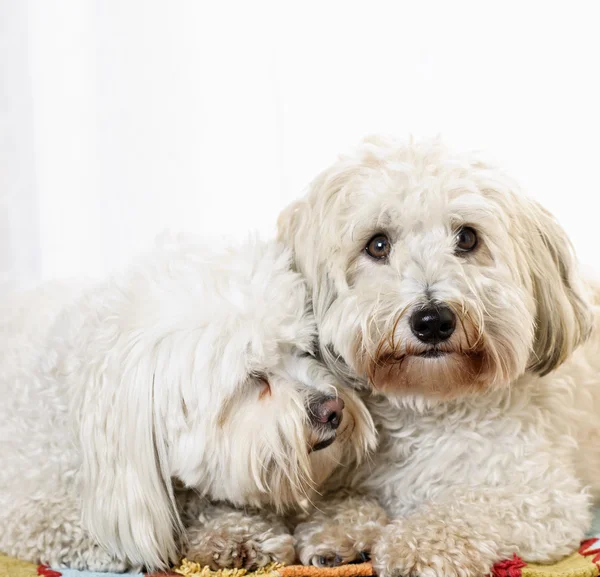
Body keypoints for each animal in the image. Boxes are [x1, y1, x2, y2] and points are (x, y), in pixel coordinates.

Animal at [278, 136, 600, 576]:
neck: (430, 407)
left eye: (467, 238)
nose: (432, 321)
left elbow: (468, 505)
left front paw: (413, 546)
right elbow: (346, 500)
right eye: (378, 244)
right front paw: (336, 530)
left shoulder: (543, 498)